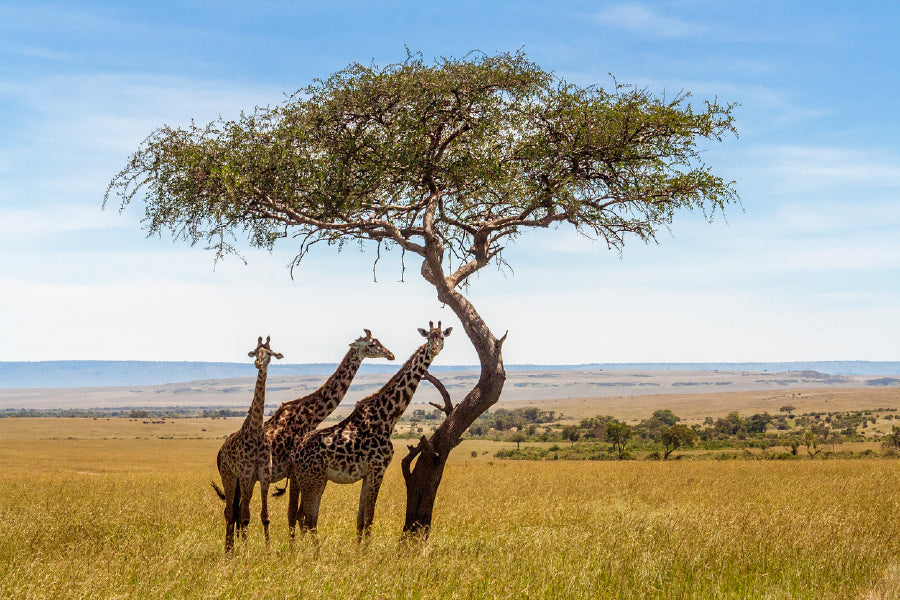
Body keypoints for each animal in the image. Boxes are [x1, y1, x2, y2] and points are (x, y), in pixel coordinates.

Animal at [214, 336, 282, 552]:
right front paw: (245, 551)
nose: (258, 363)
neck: (256, 431)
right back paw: (229, 550)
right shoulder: (244, 473)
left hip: (246, 480)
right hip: (229, 475)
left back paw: (231, 547)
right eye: (254, 352)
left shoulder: (263, 474)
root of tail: (220, 452)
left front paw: (268, 551)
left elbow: (264, 516)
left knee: (237, 509)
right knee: (230, 511)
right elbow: (244, 516)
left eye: (269, 353)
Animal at [286, 322, 450, 540]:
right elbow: (370, 518)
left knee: (299, 516)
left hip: (305, 479)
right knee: (308, 519)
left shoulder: (366, 474)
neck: (387, 417)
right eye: (429, 338)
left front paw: (358, 547)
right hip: (313, 479)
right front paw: (367, 548)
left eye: (442, 337)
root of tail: (294, 454)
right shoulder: (377, 470)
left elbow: (360, 519)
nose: (435, 350)